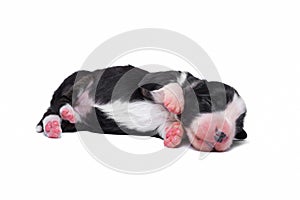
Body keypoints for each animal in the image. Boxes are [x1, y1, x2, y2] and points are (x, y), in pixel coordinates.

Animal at [35, 65, 246, 152]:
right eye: (209, 103)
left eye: (238, 126)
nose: (222, 134)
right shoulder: (149, 82)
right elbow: (175, 86)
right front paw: (175, 101)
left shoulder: (163, 124)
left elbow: (166, 128)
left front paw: (174, 135)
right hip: (77, 81)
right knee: (56, 105)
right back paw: (65, 111)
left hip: (80, 122)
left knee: (55, 116)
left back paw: (55, 125)